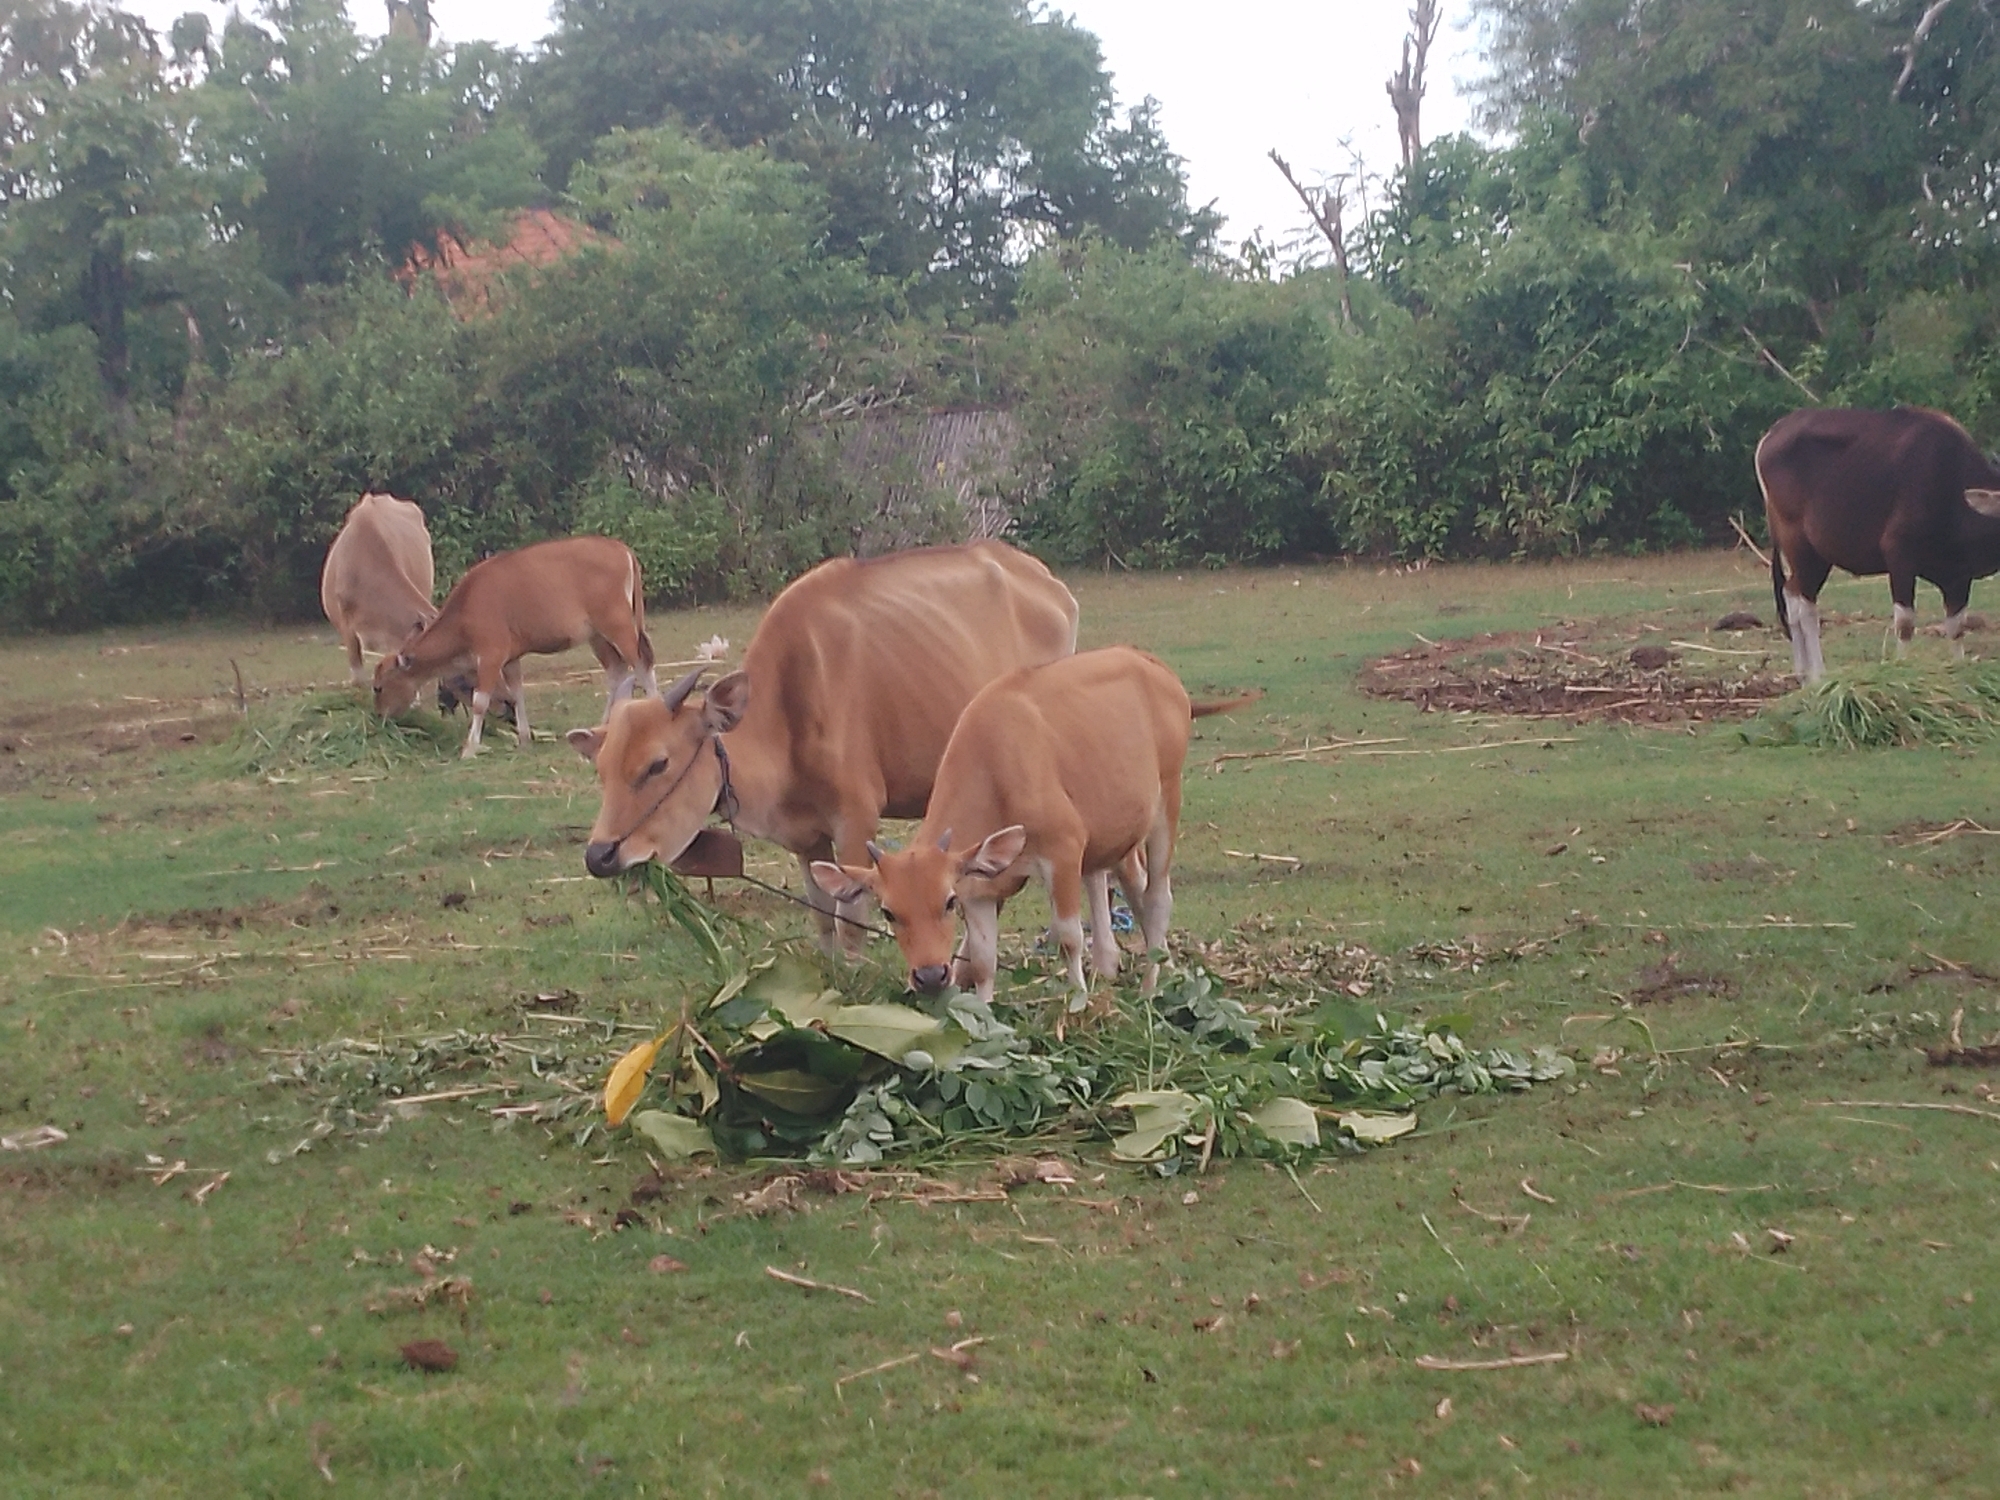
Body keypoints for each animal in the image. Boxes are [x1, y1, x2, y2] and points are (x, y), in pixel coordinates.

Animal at [374, 535, 657, 759]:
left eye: (378, 687)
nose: (379, 717)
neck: (467, 608)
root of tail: (621, 548)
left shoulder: (491, 655)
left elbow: (480, 702)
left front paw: (470, 748)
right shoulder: (511, 659)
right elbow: (518, 692)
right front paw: (523, 739)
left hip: (617, 624)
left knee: (642, 664)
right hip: (597, 635)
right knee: (617, 670)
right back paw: (602, 725)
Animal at [565, 541, 1080, 955]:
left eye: (658, 764)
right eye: (602, 770)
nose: (599, 856)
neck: (789, 708)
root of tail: (1048, 583)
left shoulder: (855, 823)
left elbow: (849, 922)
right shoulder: (806, 839)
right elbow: (821, 917)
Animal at [807, 647, 1257, 1006]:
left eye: (947, 903)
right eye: (887, 911)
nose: (931, 976)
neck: (995, 767)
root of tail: (1151, 664)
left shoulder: (1063, 851)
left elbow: (1069, 935)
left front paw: (1076, 1000)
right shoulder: (979, 887)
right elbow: (982, 961)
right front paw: (984, 1017)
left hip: (1167, 798)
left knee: (1158, 897)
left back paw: (1149, 990)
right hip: (1118, 829)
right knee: (1133, 889)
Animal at [1756, 406, 2000, 681]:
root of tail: (1772, 433)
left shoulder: (1958, 577)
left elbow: (1956, 626)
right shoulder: (1899, 555)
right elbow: (1905, 624)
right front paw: (1902, 670)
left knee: (1792, 595)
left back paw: (1803, 674)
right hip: (1801, 548)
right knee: (1805, 607)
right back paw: (1819, 675)